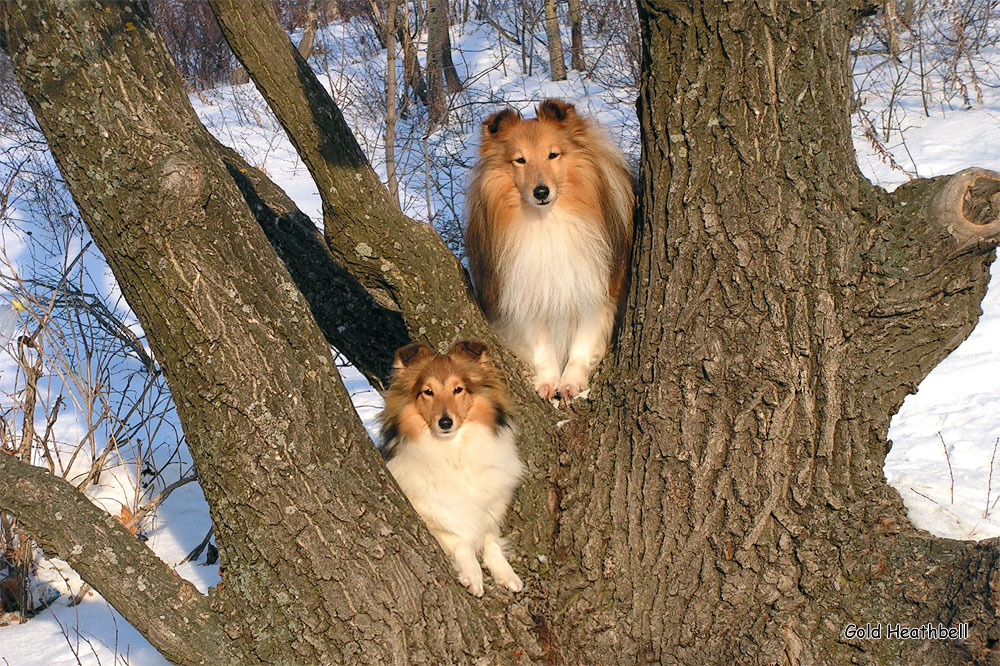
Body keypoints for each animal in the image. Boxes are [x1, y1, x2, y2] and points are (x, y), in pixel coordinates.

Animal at [378, 340, 528, 592]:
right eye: (428, 392)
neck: (455, 452)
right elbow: (461, 541)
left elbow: (491, 540)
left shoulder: (490, 506)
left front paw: (507, 574)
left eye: (458, 389)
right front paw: (473, 576)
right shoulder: (431, 516)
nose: (445, 422)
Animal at [462, 98, 632, 400]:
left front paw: (571, 381)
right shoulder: (524, 292)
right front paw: (548, 381)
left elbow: (583, 340)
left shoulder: (595, 287)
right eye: (520, 159)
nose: (541, 192)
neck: (548, 222)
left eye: (553, 155)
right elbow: (540, 343)